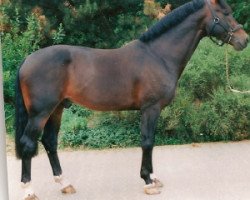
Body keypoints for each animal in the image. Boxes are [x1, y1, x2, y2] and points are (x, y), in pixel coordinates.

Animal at [15, 0, 248, 198]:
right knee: (28, 144)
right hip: (40, 113)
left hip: (56, 109)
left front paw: (153, 177)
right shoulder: (150, 108)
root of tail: (27, 60)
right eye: (225, 13)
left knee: (49, 142)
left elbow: (150, 142)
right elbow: (147, 141)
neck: (159, 56)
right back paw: (29, 190)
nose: (244, 40)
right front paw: (148, 181)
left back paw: (65, 184)